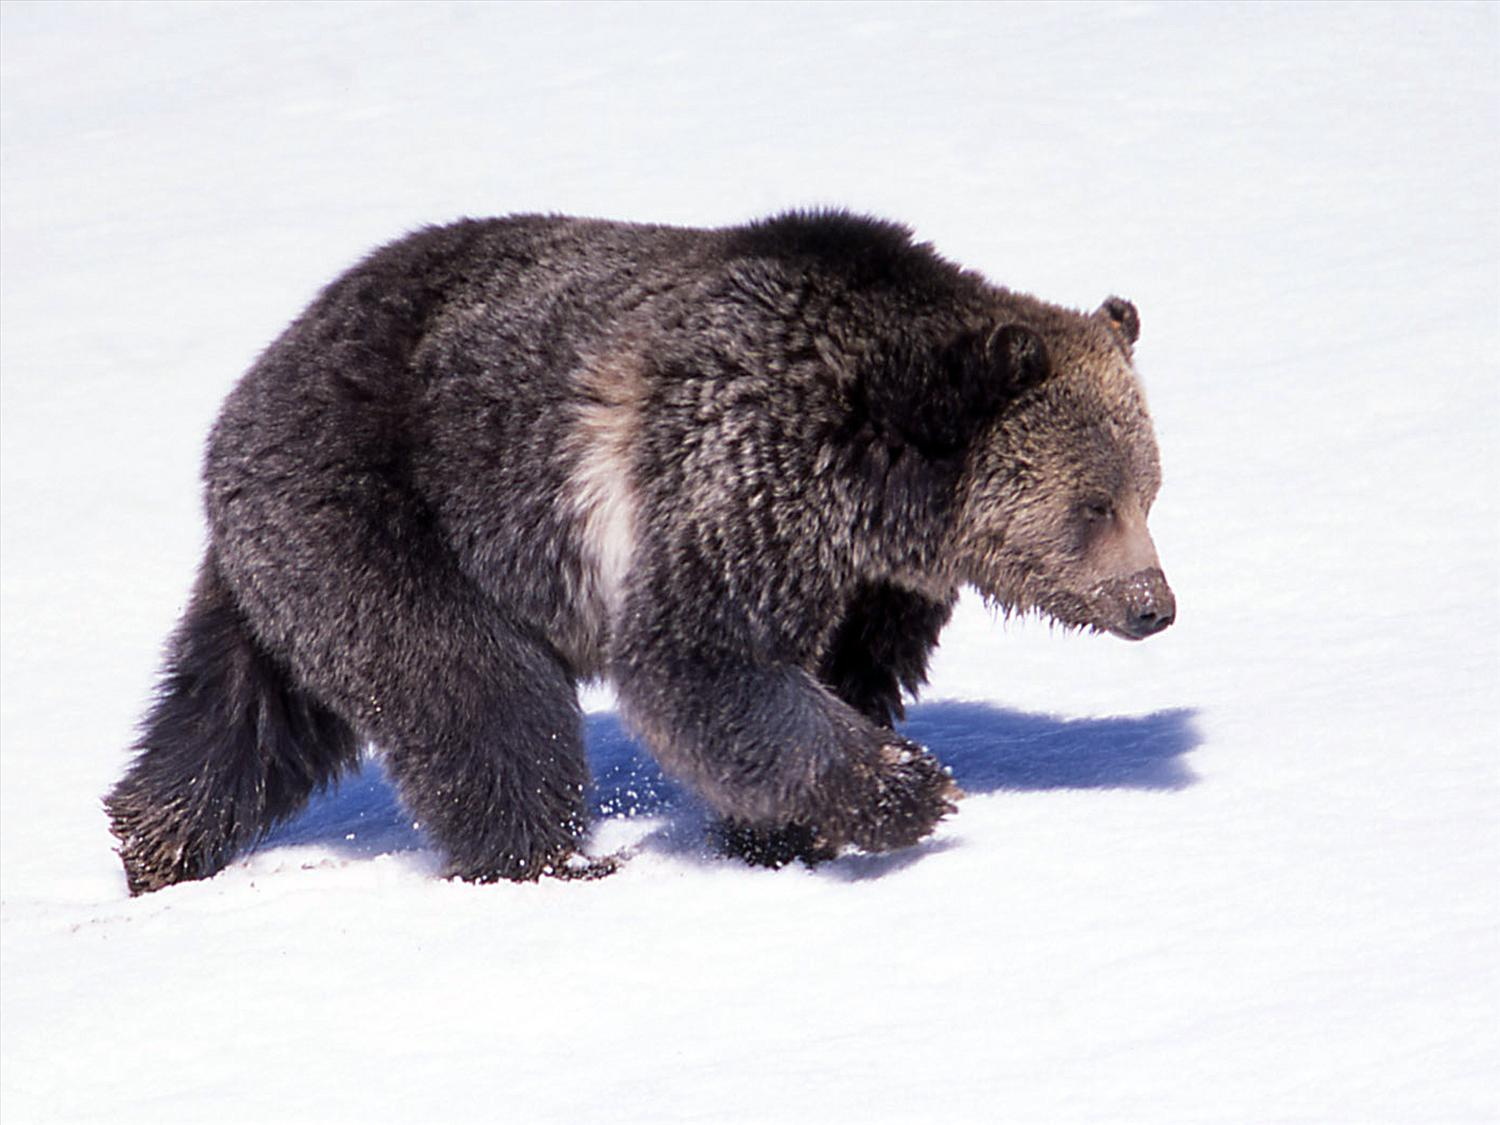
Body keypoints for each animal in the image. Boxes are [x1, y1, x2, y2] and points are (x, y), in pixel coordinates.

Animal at [105, 209, 1174, 893]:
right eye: (1094, 504)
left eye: (1151, 489)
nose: (1153, 604)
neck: (876, 481)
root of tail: (255, 379)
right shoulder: (736, 469)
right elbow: (702, 661)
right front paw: (905, 789)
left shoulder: (872, 584)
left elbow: (839, 670)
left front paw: (783, 833)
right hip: (391, 509)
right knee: (478, 695)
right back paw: (553, 859)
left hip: (283, 560)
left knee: (237, 714)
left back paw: (154, 843)